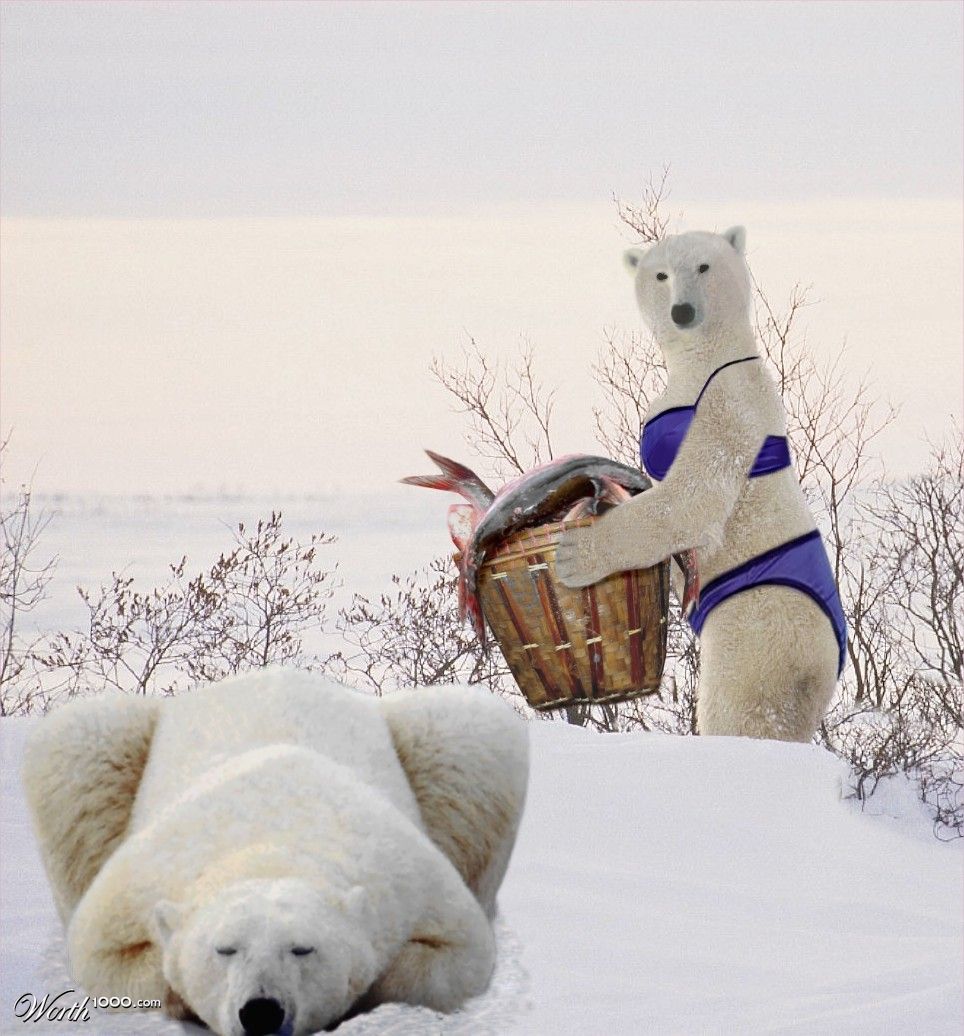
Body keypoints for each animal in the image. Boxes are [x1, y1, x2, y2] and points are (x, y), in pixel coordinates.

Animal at [21, 669, 529, 1035]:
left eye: (302, 948)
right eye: (225, 949)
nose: (261, 1011)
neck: (271, 843)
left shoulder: (408, 879)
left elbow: (460, 958)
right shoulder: (141, 883)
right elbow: (101, 961)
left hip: (446, 744)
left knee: (473, 733)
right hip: (104, 744)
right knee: (76, 746)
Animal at [556, 226, 846, 743]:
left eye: (704, 267)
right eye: (661, 274)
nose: (682, 311)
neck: (707, 357)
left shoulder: (727, 400)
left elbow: (693, 495)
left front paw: (576, 552)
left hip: (761, 623)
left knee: (741, 706)